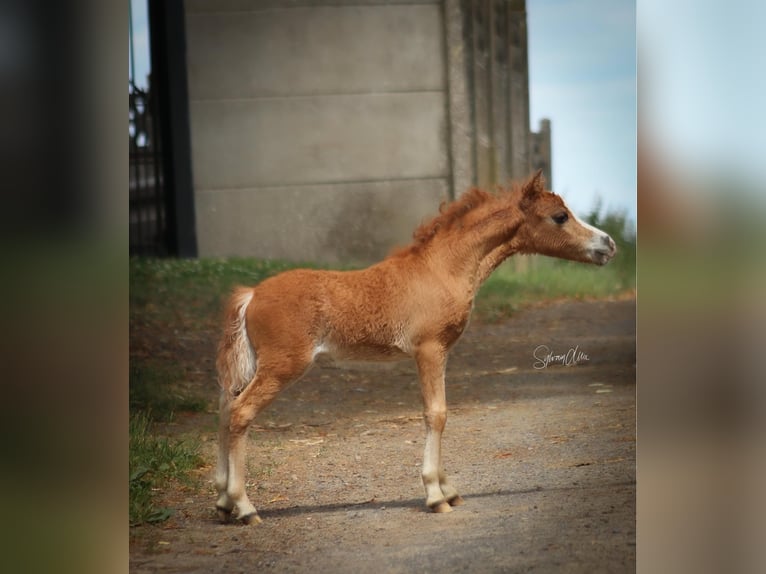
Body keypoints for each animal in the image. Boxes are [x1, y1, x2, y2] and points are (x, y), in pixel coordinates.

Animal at [214, 171, 616, 528]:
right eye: (560, 216)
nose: (608, 243)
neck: (442, 269)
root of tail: (252, 294)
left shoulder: (439, 353)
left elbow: (437, 413)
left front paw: (449, 489)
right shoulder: (429, 349)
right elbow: (436, 414)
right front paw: (437, 496)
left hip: (254, 365)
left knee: (224, 410)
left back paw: (222, 502)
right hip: (283, 365)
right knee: (240, 412)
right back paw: (244, 507)